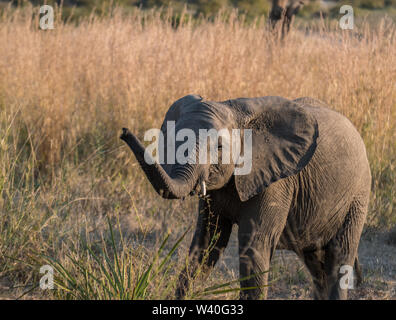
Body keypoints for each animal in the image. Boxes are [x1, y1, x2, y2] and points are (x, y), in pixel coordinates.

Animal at [120, 95, 372, 300]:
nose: (123, 131)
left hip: (357, 197)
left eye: (219, 147)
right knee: (317, 266)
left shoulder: (275, 182)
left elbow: (253, 248)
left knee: (338, 260)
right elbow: (205, 243)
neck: (234, 112)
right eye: (174, 142)